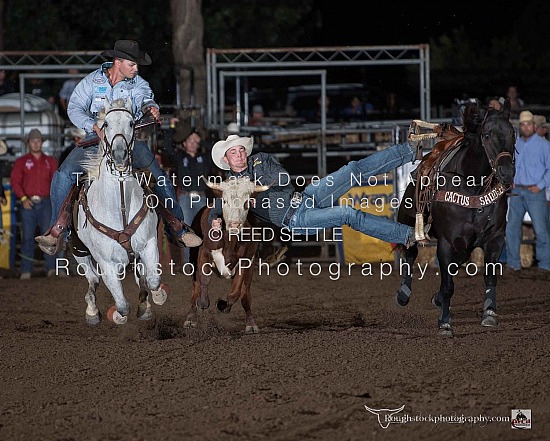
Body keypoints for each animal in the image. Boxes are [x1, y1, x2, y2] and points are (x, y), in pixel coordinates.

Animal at [74, 98, 168, 324]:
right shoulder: (106, 263)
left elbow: (152, 280)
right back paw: (92, 311)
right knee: (92, 279)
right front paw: (117, 315)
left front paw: (157, 297)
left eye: (132, 123)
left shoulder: (149, 244)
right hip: (79, 251)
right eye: (105, 124)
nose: (119, 155)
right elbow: (123, 305)